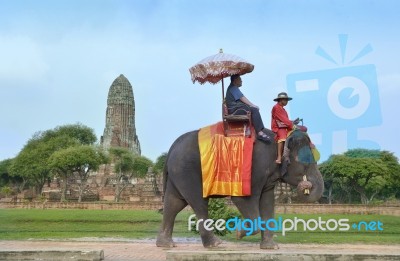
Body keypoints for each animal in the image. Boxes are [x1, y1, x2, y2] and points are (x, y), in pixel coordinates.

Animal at [155, 128, 324, 248]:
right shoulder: (253, 170)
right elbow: (243, 199)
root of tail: (171, 149)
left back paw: (166, 244)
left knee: (174, 203)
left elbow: (268, 203)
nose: (305, 185)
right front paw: (238, 233)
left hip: (178, 174)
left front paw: (271, 247)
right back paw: (215, 244)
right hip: (188, 173)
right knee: (198, 203)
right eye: (307, 163)